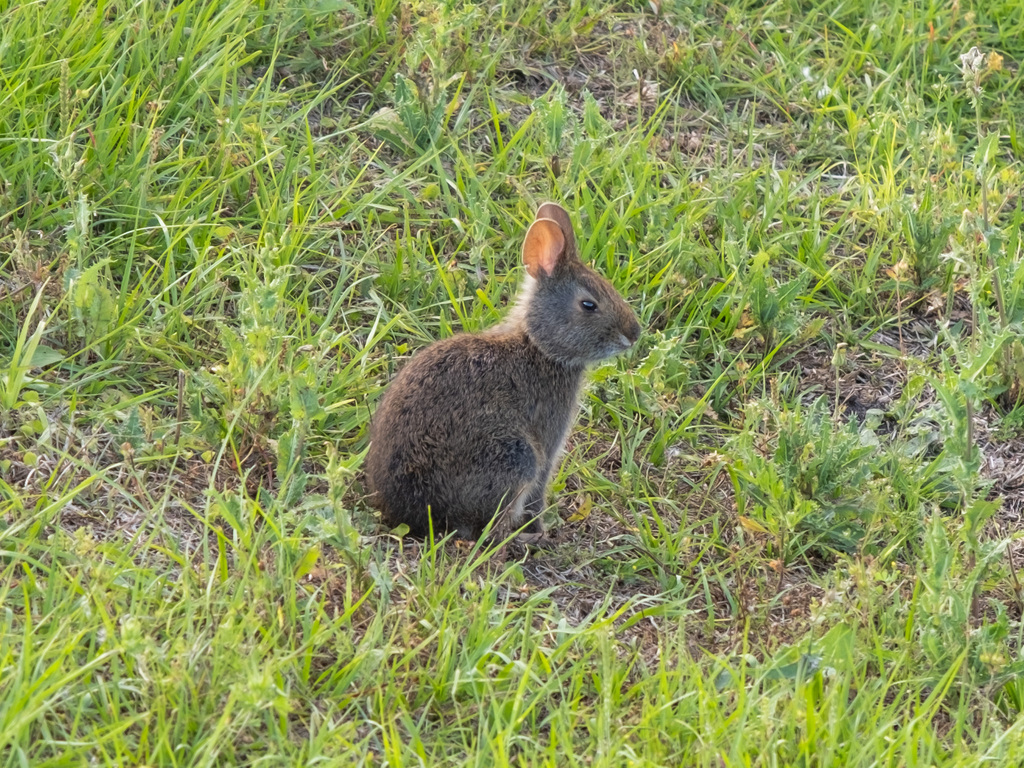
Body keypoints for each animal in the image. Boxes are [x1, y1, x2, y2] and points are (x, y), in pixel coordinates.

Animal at [365, 201, 642, 542]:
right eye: (589, 305)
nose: (634, 334)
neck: (539, 347)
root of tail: (410, 510)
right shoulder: (547, 441)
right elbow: (539, 491)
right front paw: (539, 529)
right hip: (515, 457)